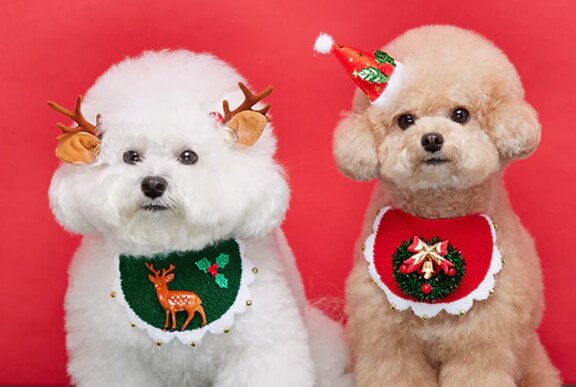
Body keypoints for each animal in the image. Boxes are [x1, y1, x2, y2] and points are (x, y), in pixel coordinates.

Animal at [48, 50, 352, 386]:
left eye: (188, 157)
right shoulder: (113, 358)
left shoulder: (259, 349)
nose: (153, 184)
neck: (174, 252)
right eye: (131, 156)